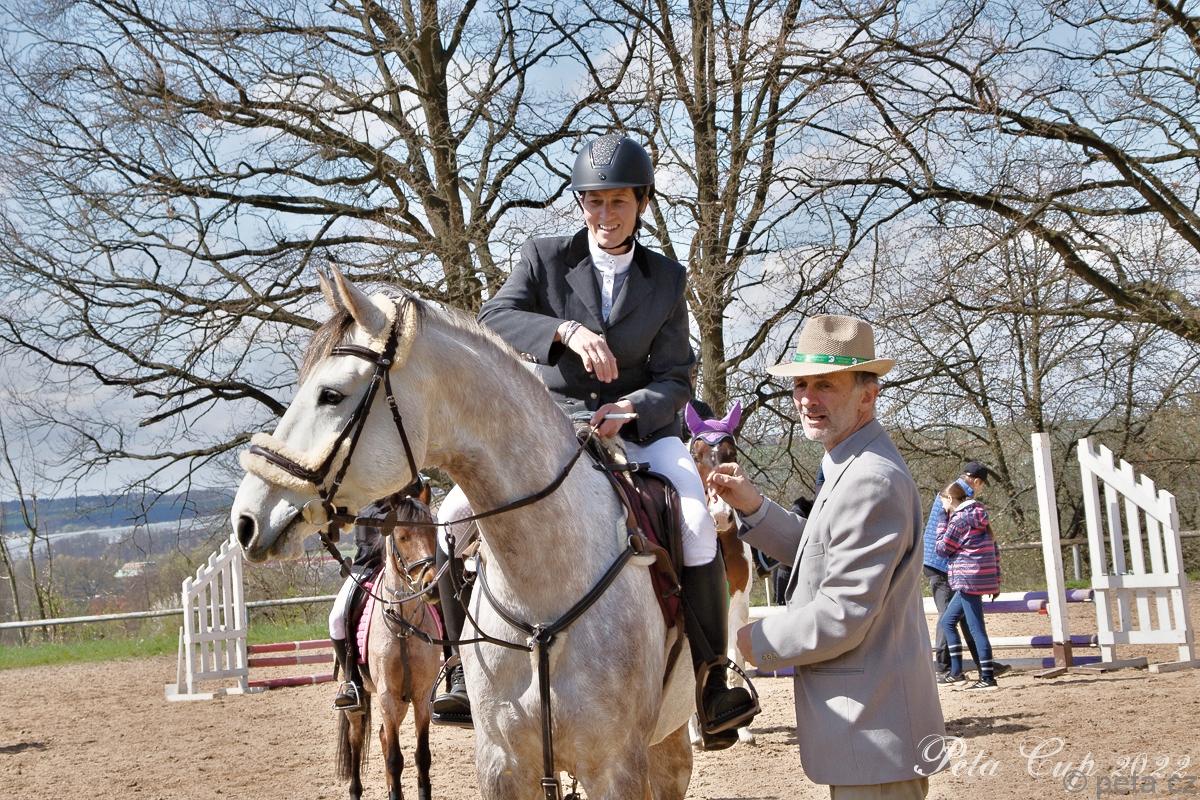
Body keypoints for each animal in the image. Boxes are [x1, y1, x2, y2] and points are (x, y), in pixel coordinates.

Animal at [336, 494, 442, 800]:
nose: (431, 587)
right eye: (402, 536)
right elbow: (395, 759)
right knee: (356, 739)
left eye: (433, 532)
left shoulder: (420, 696)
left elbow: (422, 756)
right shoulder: (386, 696)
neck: (404, 625)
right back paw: (356, 791)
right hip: (362, 702)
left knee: (383, 735)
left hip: (401, 702)